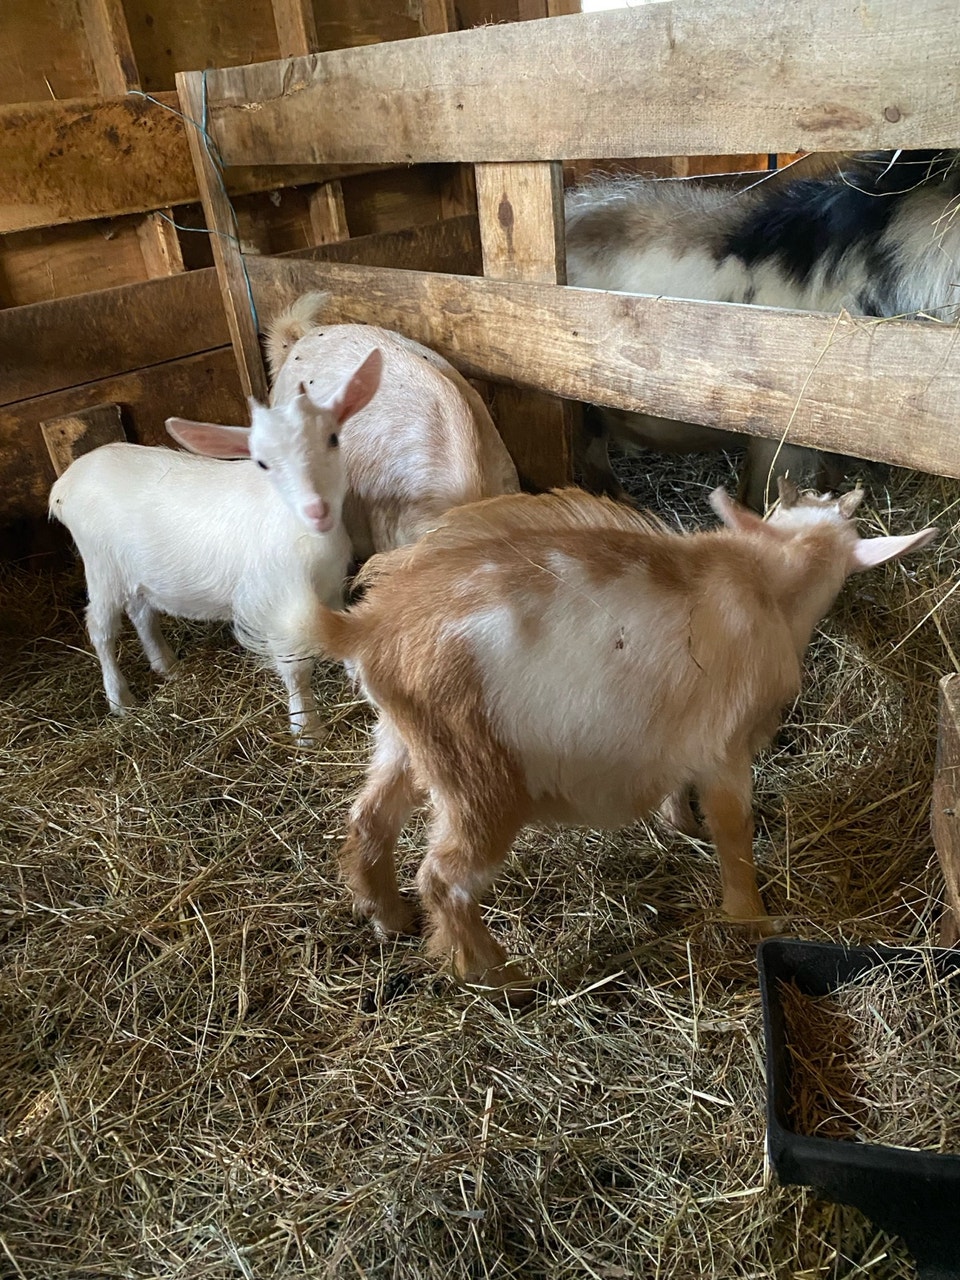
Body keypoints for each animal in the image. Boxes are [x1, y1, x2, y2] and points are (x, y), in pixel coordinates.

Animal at [49, 353, 380, 739]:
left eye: (332, 439)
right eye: (262, 462)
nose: (317, 510)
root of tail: (66, 482)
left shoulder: (329, 589)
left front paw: (357, 679)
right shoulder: (276, 601)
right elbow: (296, 668)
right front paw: (307, 730)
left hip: (133, 570)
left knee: (141, 612)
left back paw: (167, 666)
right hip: (100, 566)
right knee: (101, 630)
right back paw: (120, 700)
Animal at [316, 482, 935, 993]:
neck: (767, 580)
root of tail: (370, 628)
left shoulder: (681, 735)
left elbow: (679, 791)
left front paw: (679, 826)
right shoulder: (726, 748)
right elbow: (734, 832)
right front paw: (751, 917)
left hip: (409, 742)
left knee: (369, 818)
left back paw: (388, 918)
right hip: (480, 775)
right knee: (446, 878)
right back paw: (501, 978)